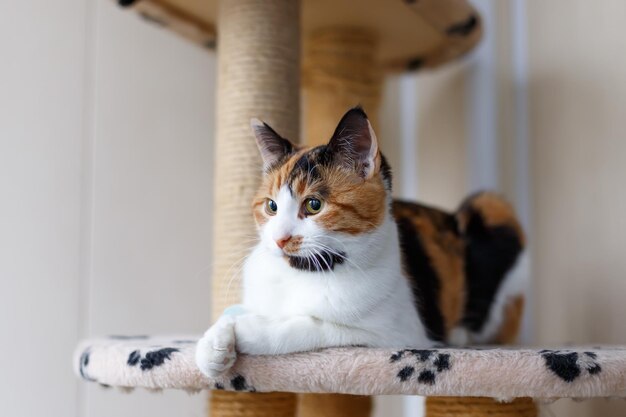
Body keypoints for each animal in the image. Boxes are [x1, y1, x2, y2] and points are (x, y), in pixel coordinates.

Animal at [195, 106, 520, 376]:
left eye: (314, 205)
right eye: (271, 206)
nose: (279, 239)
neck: (303, 272)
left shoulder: (394, 333)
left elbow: (313, 326)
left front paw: (248, 330)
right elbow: (231, 312)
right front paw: (213, 344)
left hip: (491, 209)